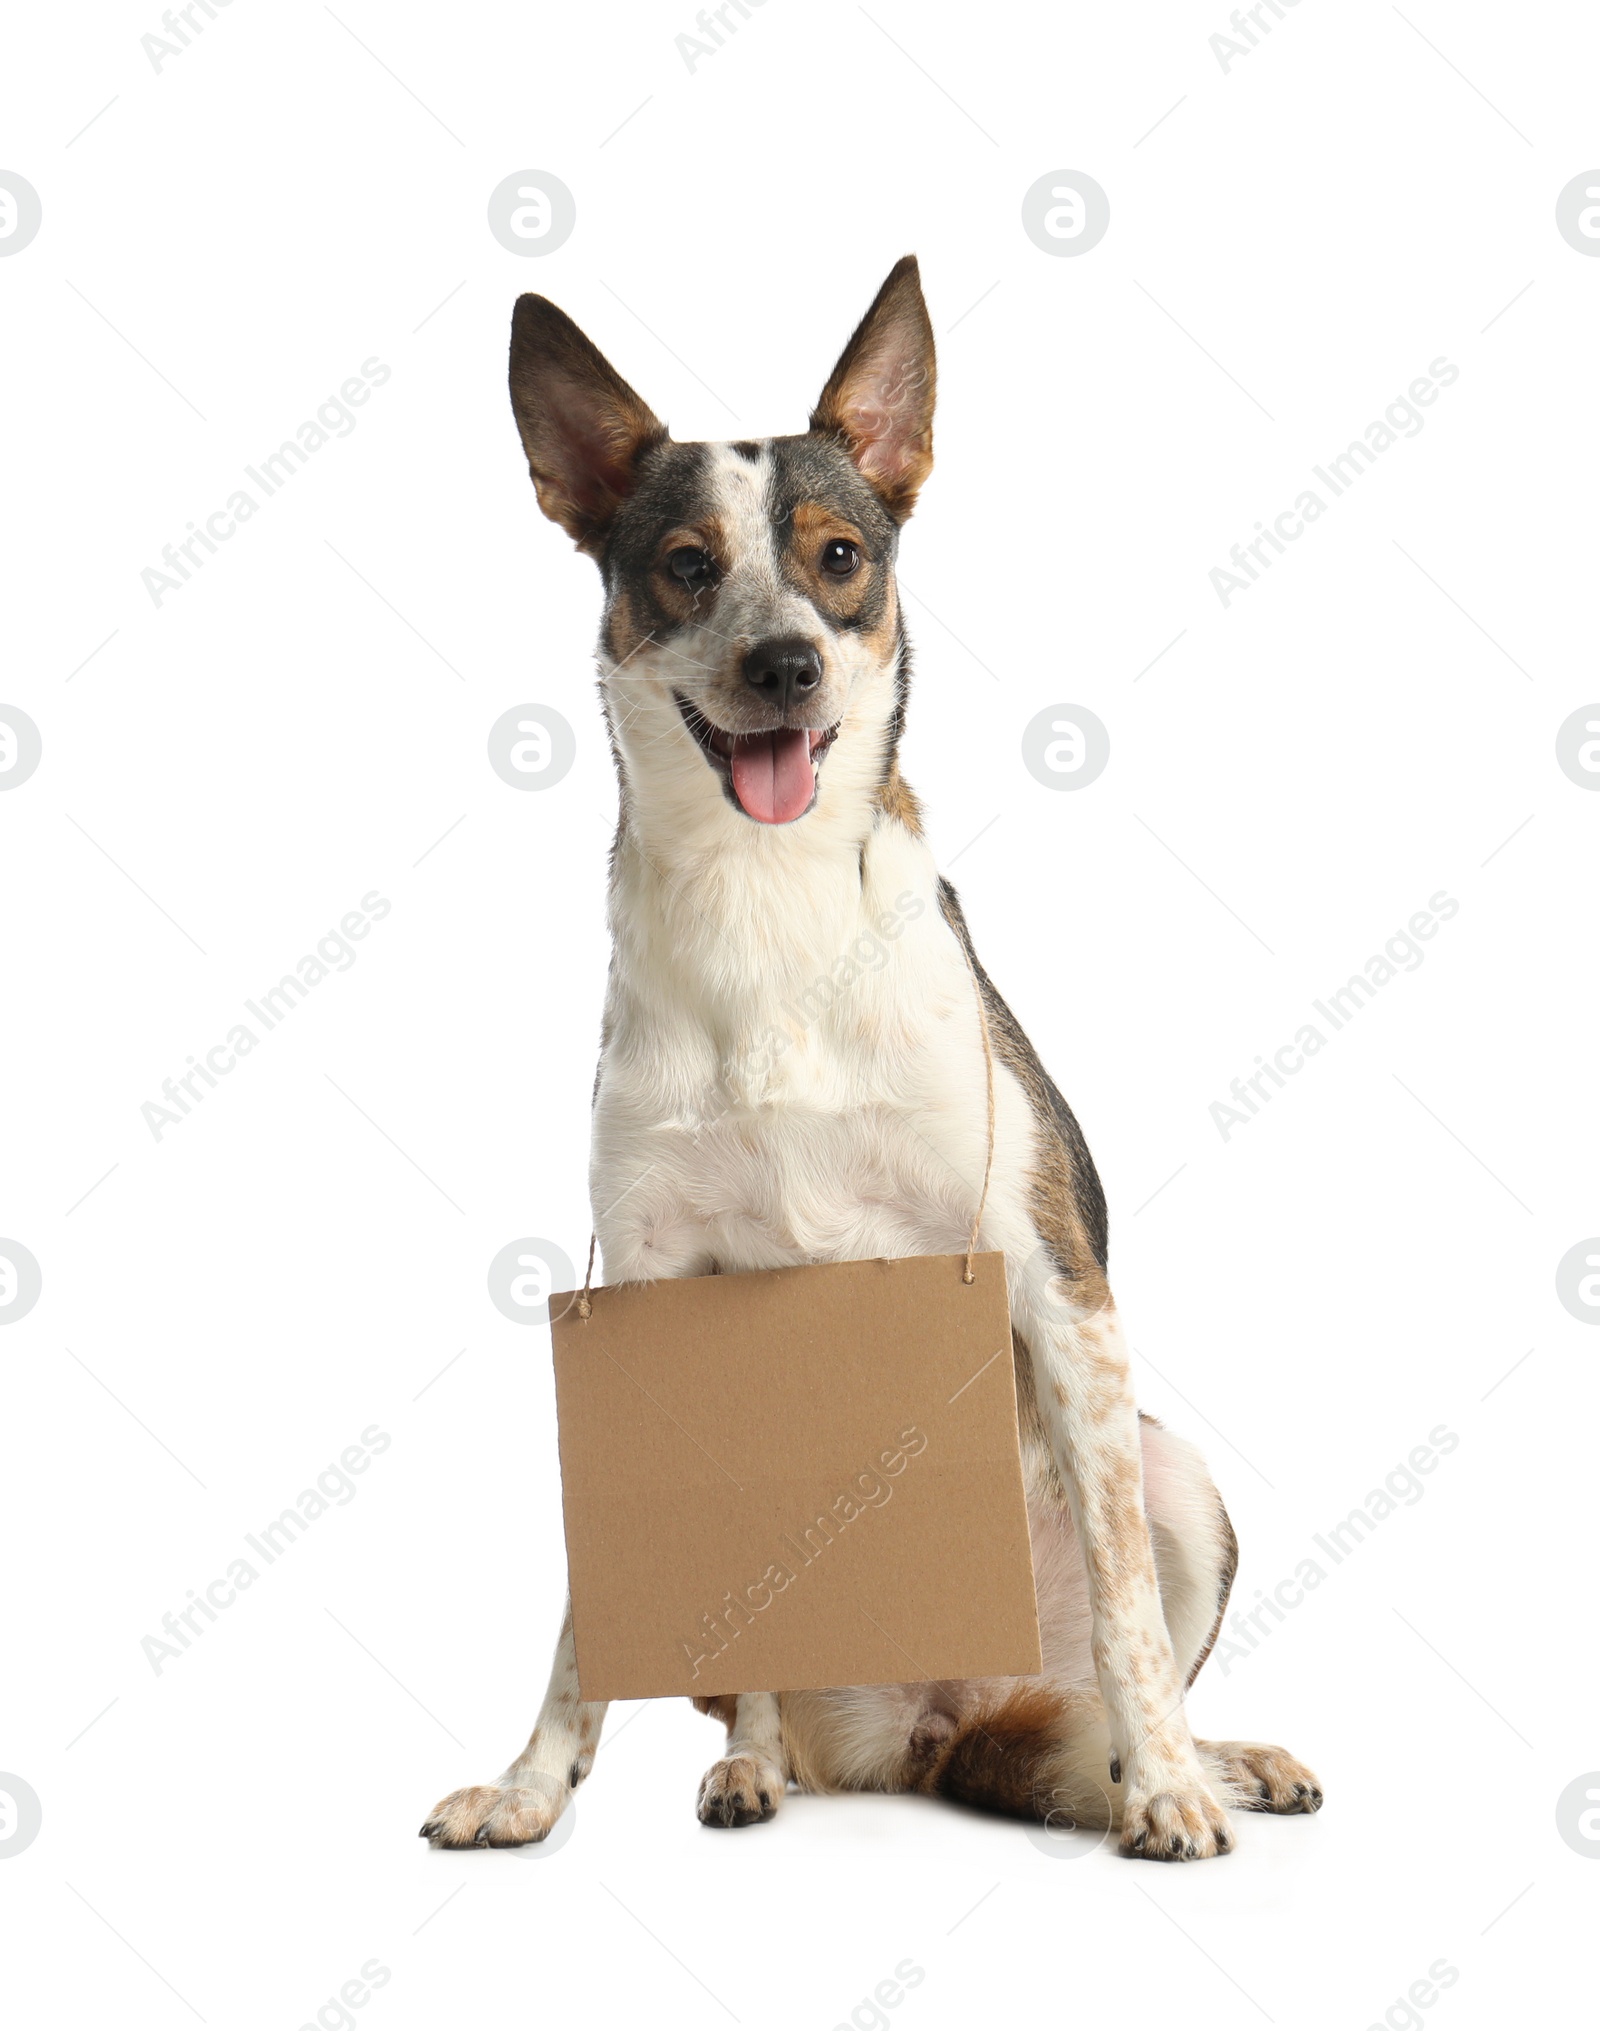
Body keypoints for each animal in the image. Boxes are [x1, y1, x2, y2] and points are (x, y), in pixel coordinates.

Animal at [418, 261, 1315, 1860]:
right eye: (688, 566)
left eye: (837, 557)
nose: (783, 660)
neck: (761, 906)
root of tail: (933, 1729)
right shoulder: (638, 1299)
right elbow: (587, 1612)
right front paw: (531, 1782)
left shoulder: (1048, 1279)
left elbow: (1132, 1618)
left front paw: (1168, 1788)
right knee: (756, 1693)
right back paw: (753, 1764)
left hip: (1176, 1472)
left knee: (1127, 1645)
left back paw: (1206, 1761)